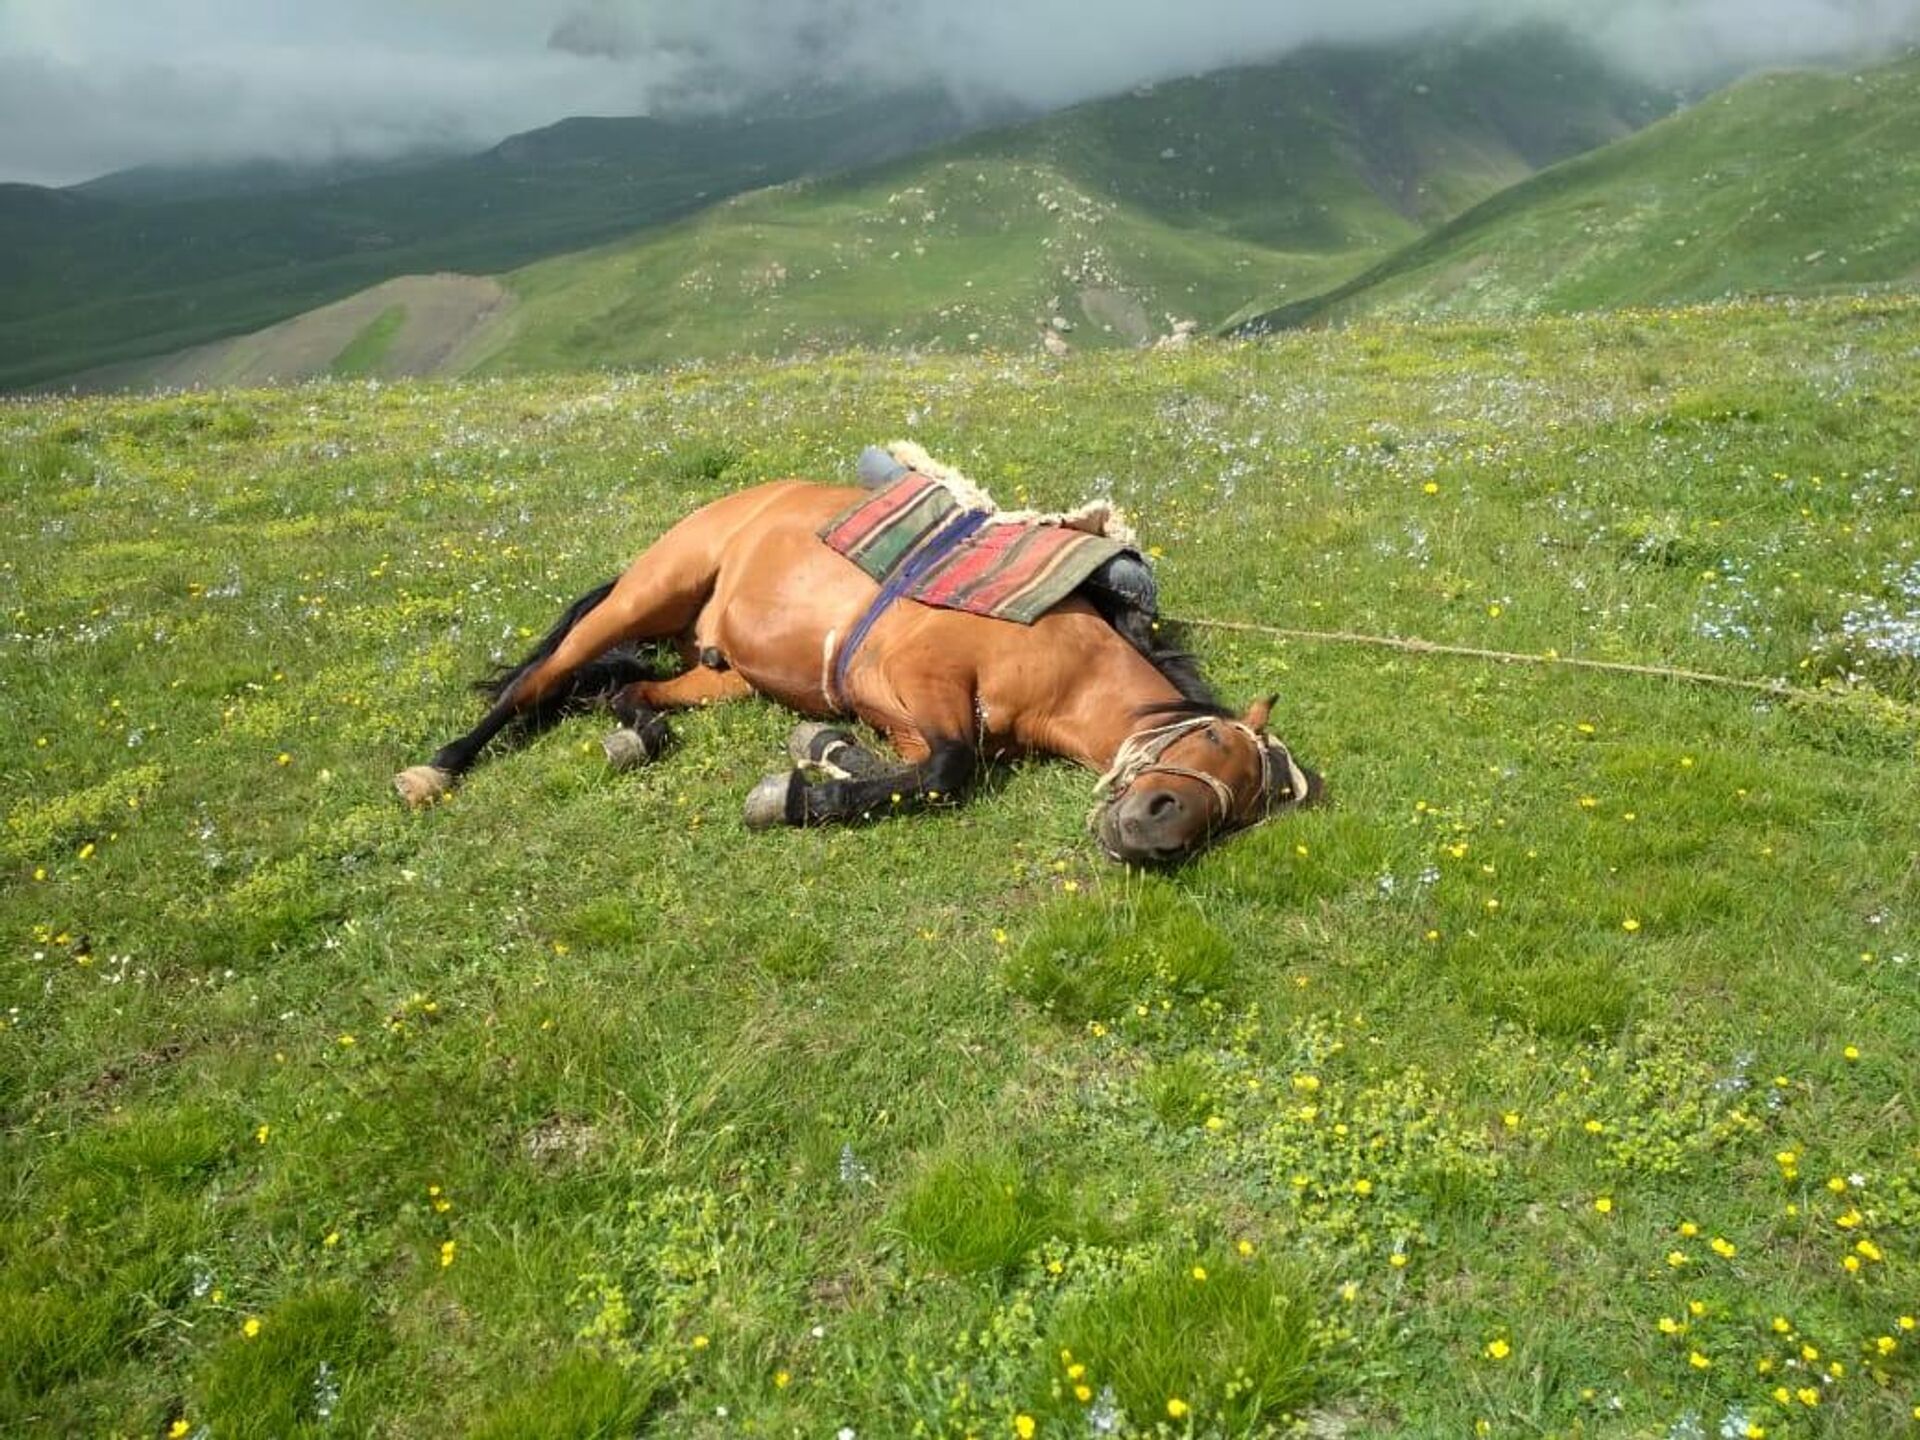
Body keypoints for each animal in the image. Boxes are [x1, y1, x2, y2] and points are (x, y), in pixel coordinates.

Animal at [389, 451, 1320, 864]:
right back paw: (437, 768)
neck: (1064, 653)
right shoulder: (922, 680)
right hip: (649, 590)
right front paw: (794, 794)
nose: (1157, 834)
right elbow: (948, 772)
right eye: (1211, 743)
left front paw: (820, 758)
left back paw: (636, 735)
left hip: (721, 673)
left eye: (1240, 810)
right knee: (536, 681)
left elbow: (907, 768)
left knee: (629, 689)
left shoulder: (901, 716)